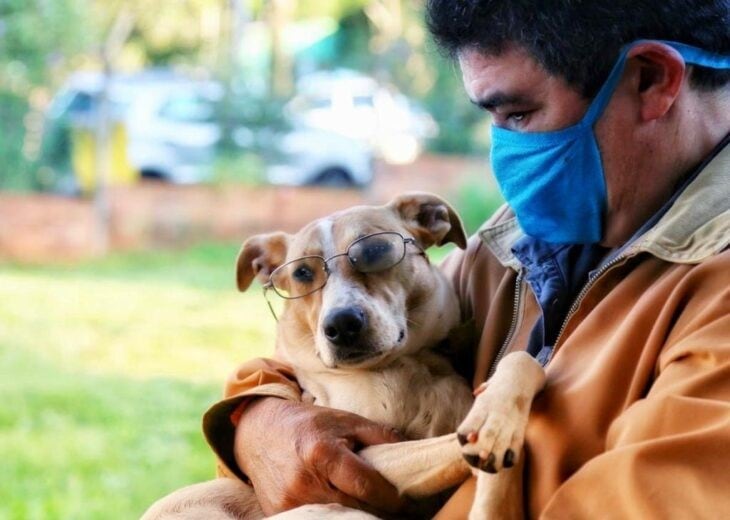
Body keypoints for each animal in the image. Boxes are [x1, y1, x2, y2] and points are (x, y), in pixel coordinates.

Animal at [142, 194, 544, 520]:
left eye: (376, 251)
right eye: (302, 273)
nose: (341, 325)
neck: (406, 367)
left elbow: (522, 361)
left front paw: (497, 418)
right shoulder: (371, 459)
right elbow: (464, 453)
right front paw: (494, 435)